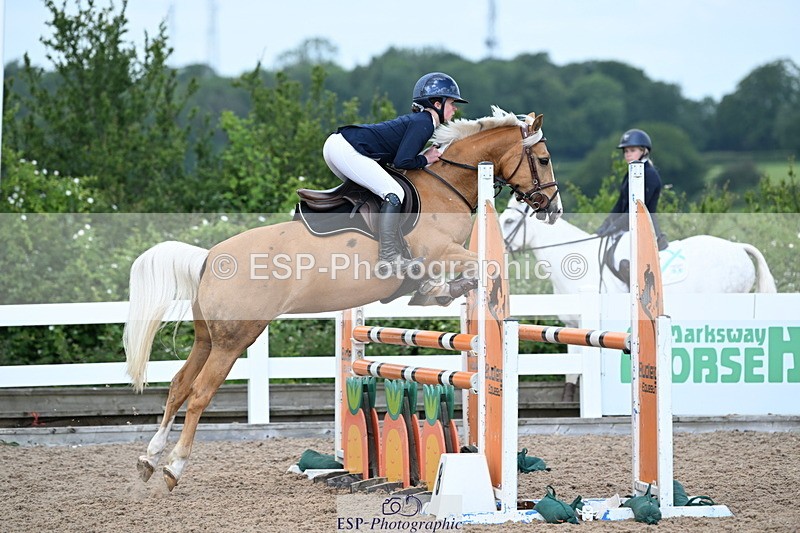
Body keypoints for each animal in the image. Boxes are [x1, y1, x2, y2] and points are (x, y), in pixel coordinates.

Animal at [123, 106, 562, 491]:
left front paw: (437, 294)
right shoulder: (441, 253)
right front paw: (443, 293)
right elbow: (483, 268)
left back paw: (148, 459)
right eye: (542, 159)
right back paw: (174, 468)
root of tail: (209, 256)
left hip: (207, 337)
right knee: (199, 394)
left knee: (179, 385)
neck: (447, 186)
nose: (552, 209)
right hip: (234, 339)